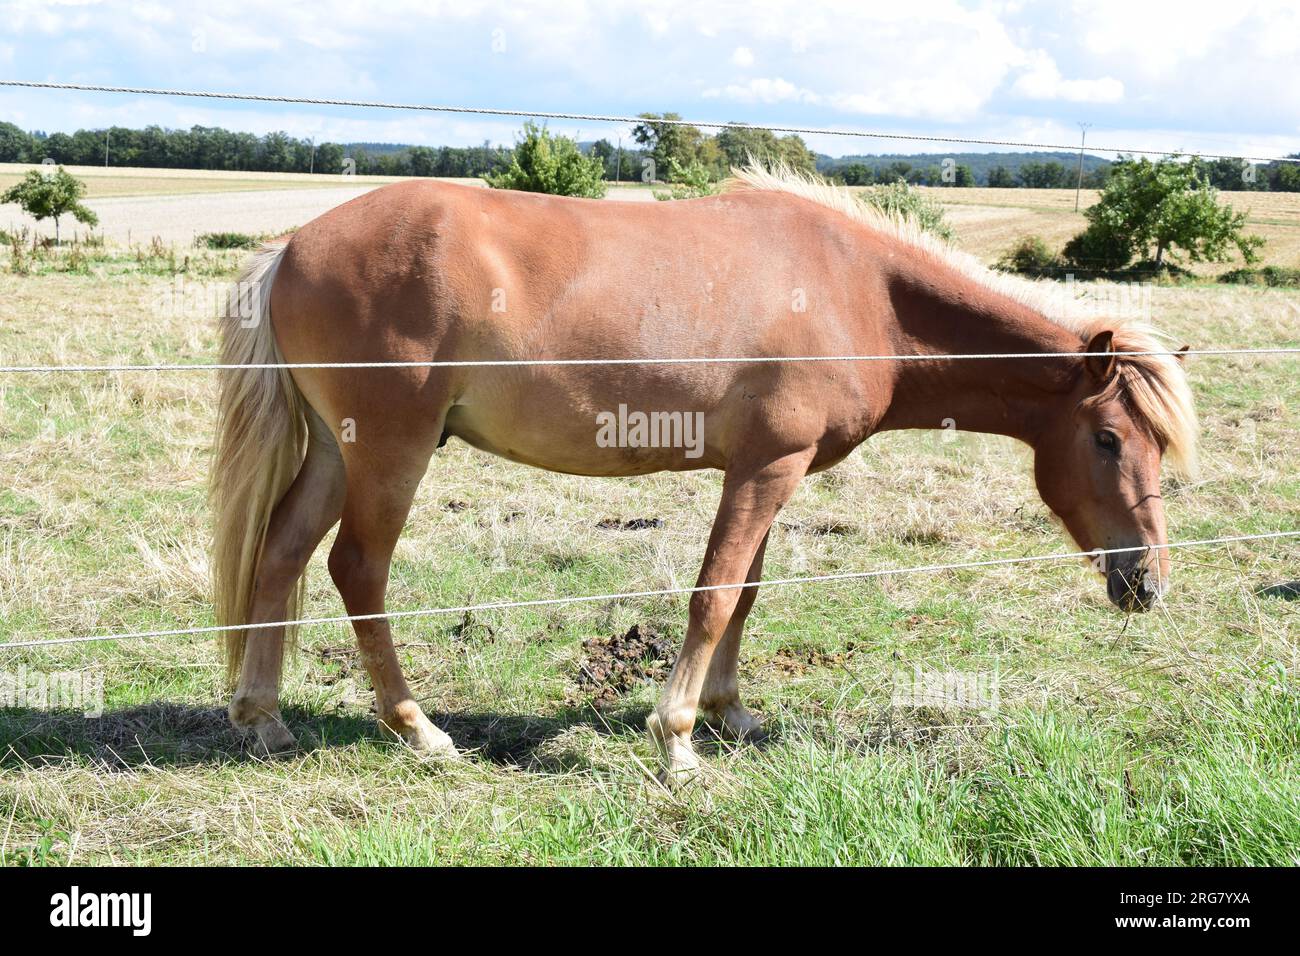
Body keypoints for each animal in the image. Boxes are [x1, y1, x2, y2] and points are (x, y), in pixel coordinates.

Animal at [210, 165, 1197, 782]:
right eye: (1109, 440)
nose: (1147, 581)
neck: (861, 293)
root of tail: (290, 245)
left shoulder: (768, 472)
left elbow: (746, 593)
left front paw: (732, 714)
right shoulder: (767, 469)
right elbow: (715, 593)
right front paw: (678, 739)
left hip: (334, 451)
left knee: (281, 554)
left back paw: (262, 718)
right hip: (391, 451)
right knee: (357, 571)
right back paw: (419, 730)